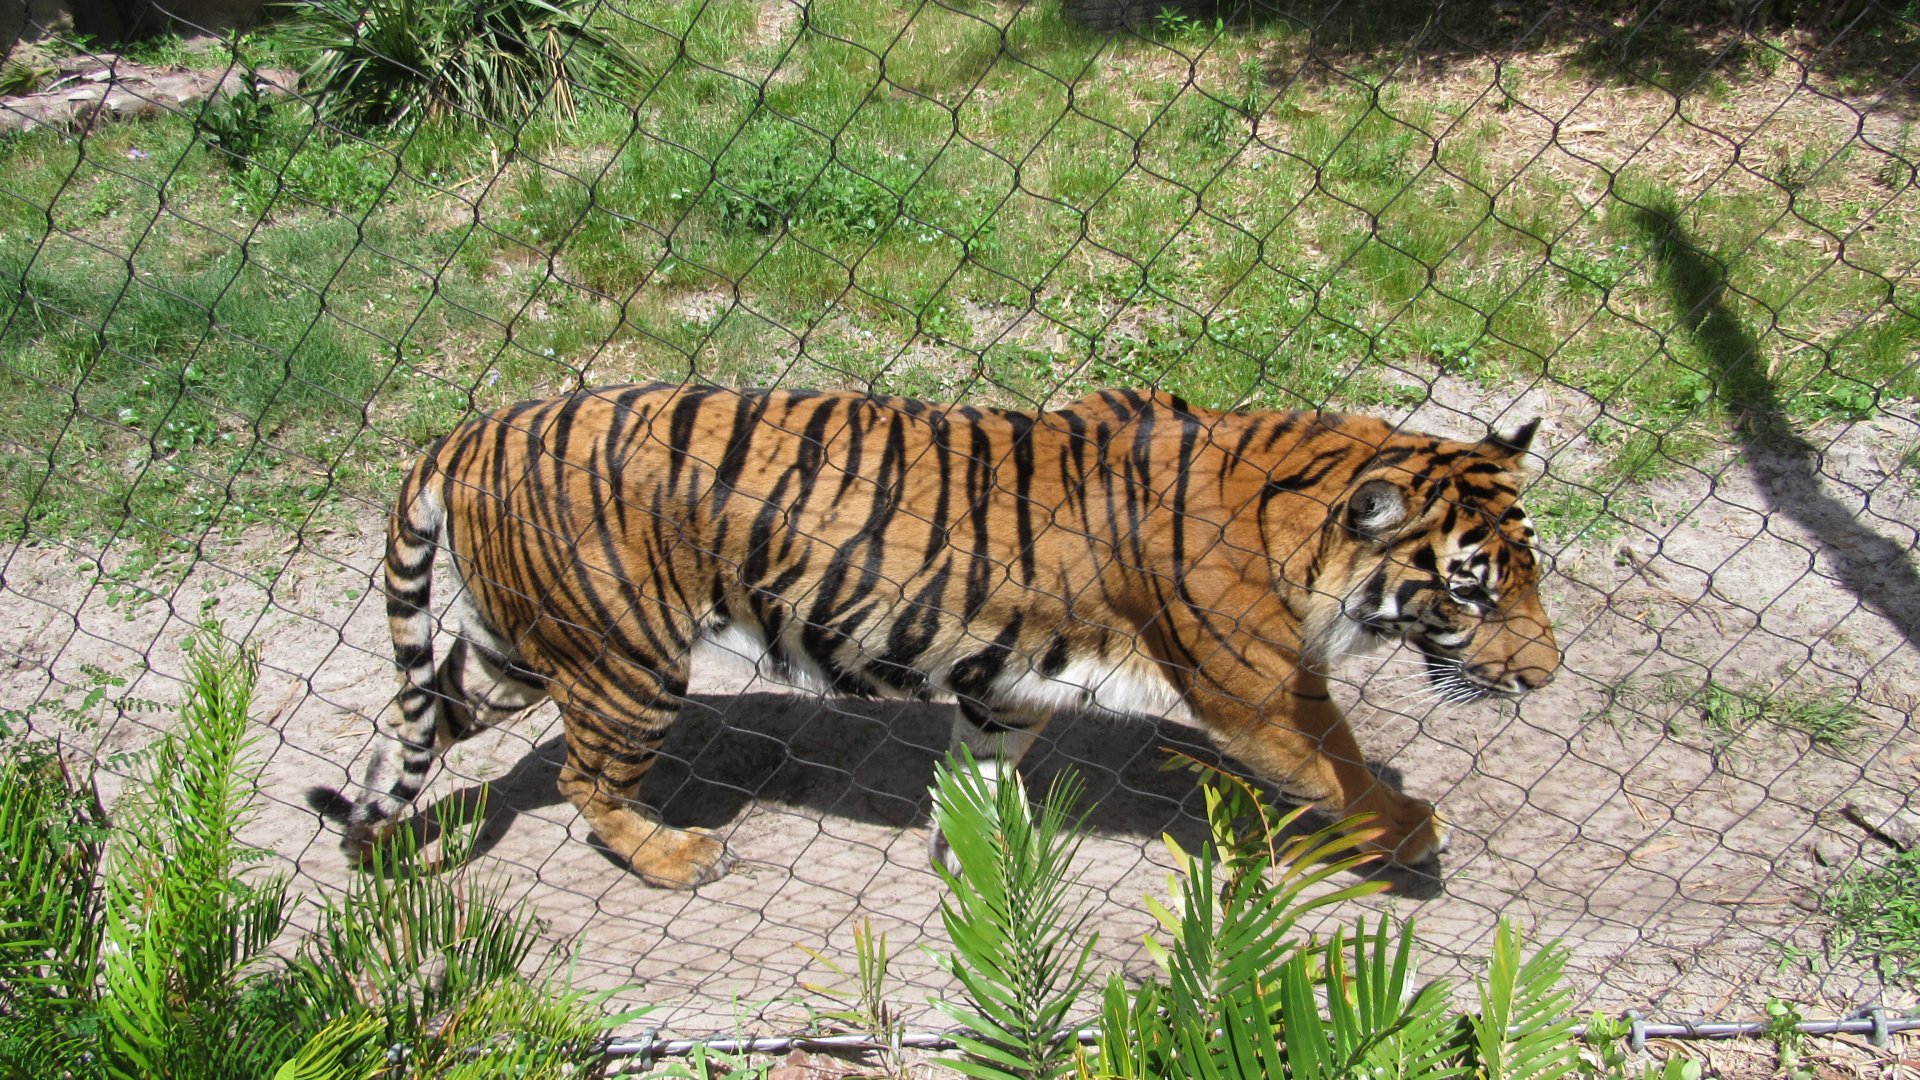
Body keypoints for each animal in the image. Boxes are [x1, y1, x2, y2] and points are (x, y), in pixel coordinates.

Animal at [308, 383, 1559, 888]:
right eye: (1474, 594)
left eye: (1532, 574)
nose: (1546, 676)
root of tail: (467, 432)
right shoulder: (1263, 697)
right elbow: (1348, 774)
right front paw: (1414, 830)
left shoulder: (1008, 680)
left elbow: (986, 766)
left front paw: (977, 847)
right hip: (625, 659)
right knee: (579, 779)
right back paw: (675, 856)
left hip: (524, 645)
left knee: (416, 719)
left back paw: (369, 828)